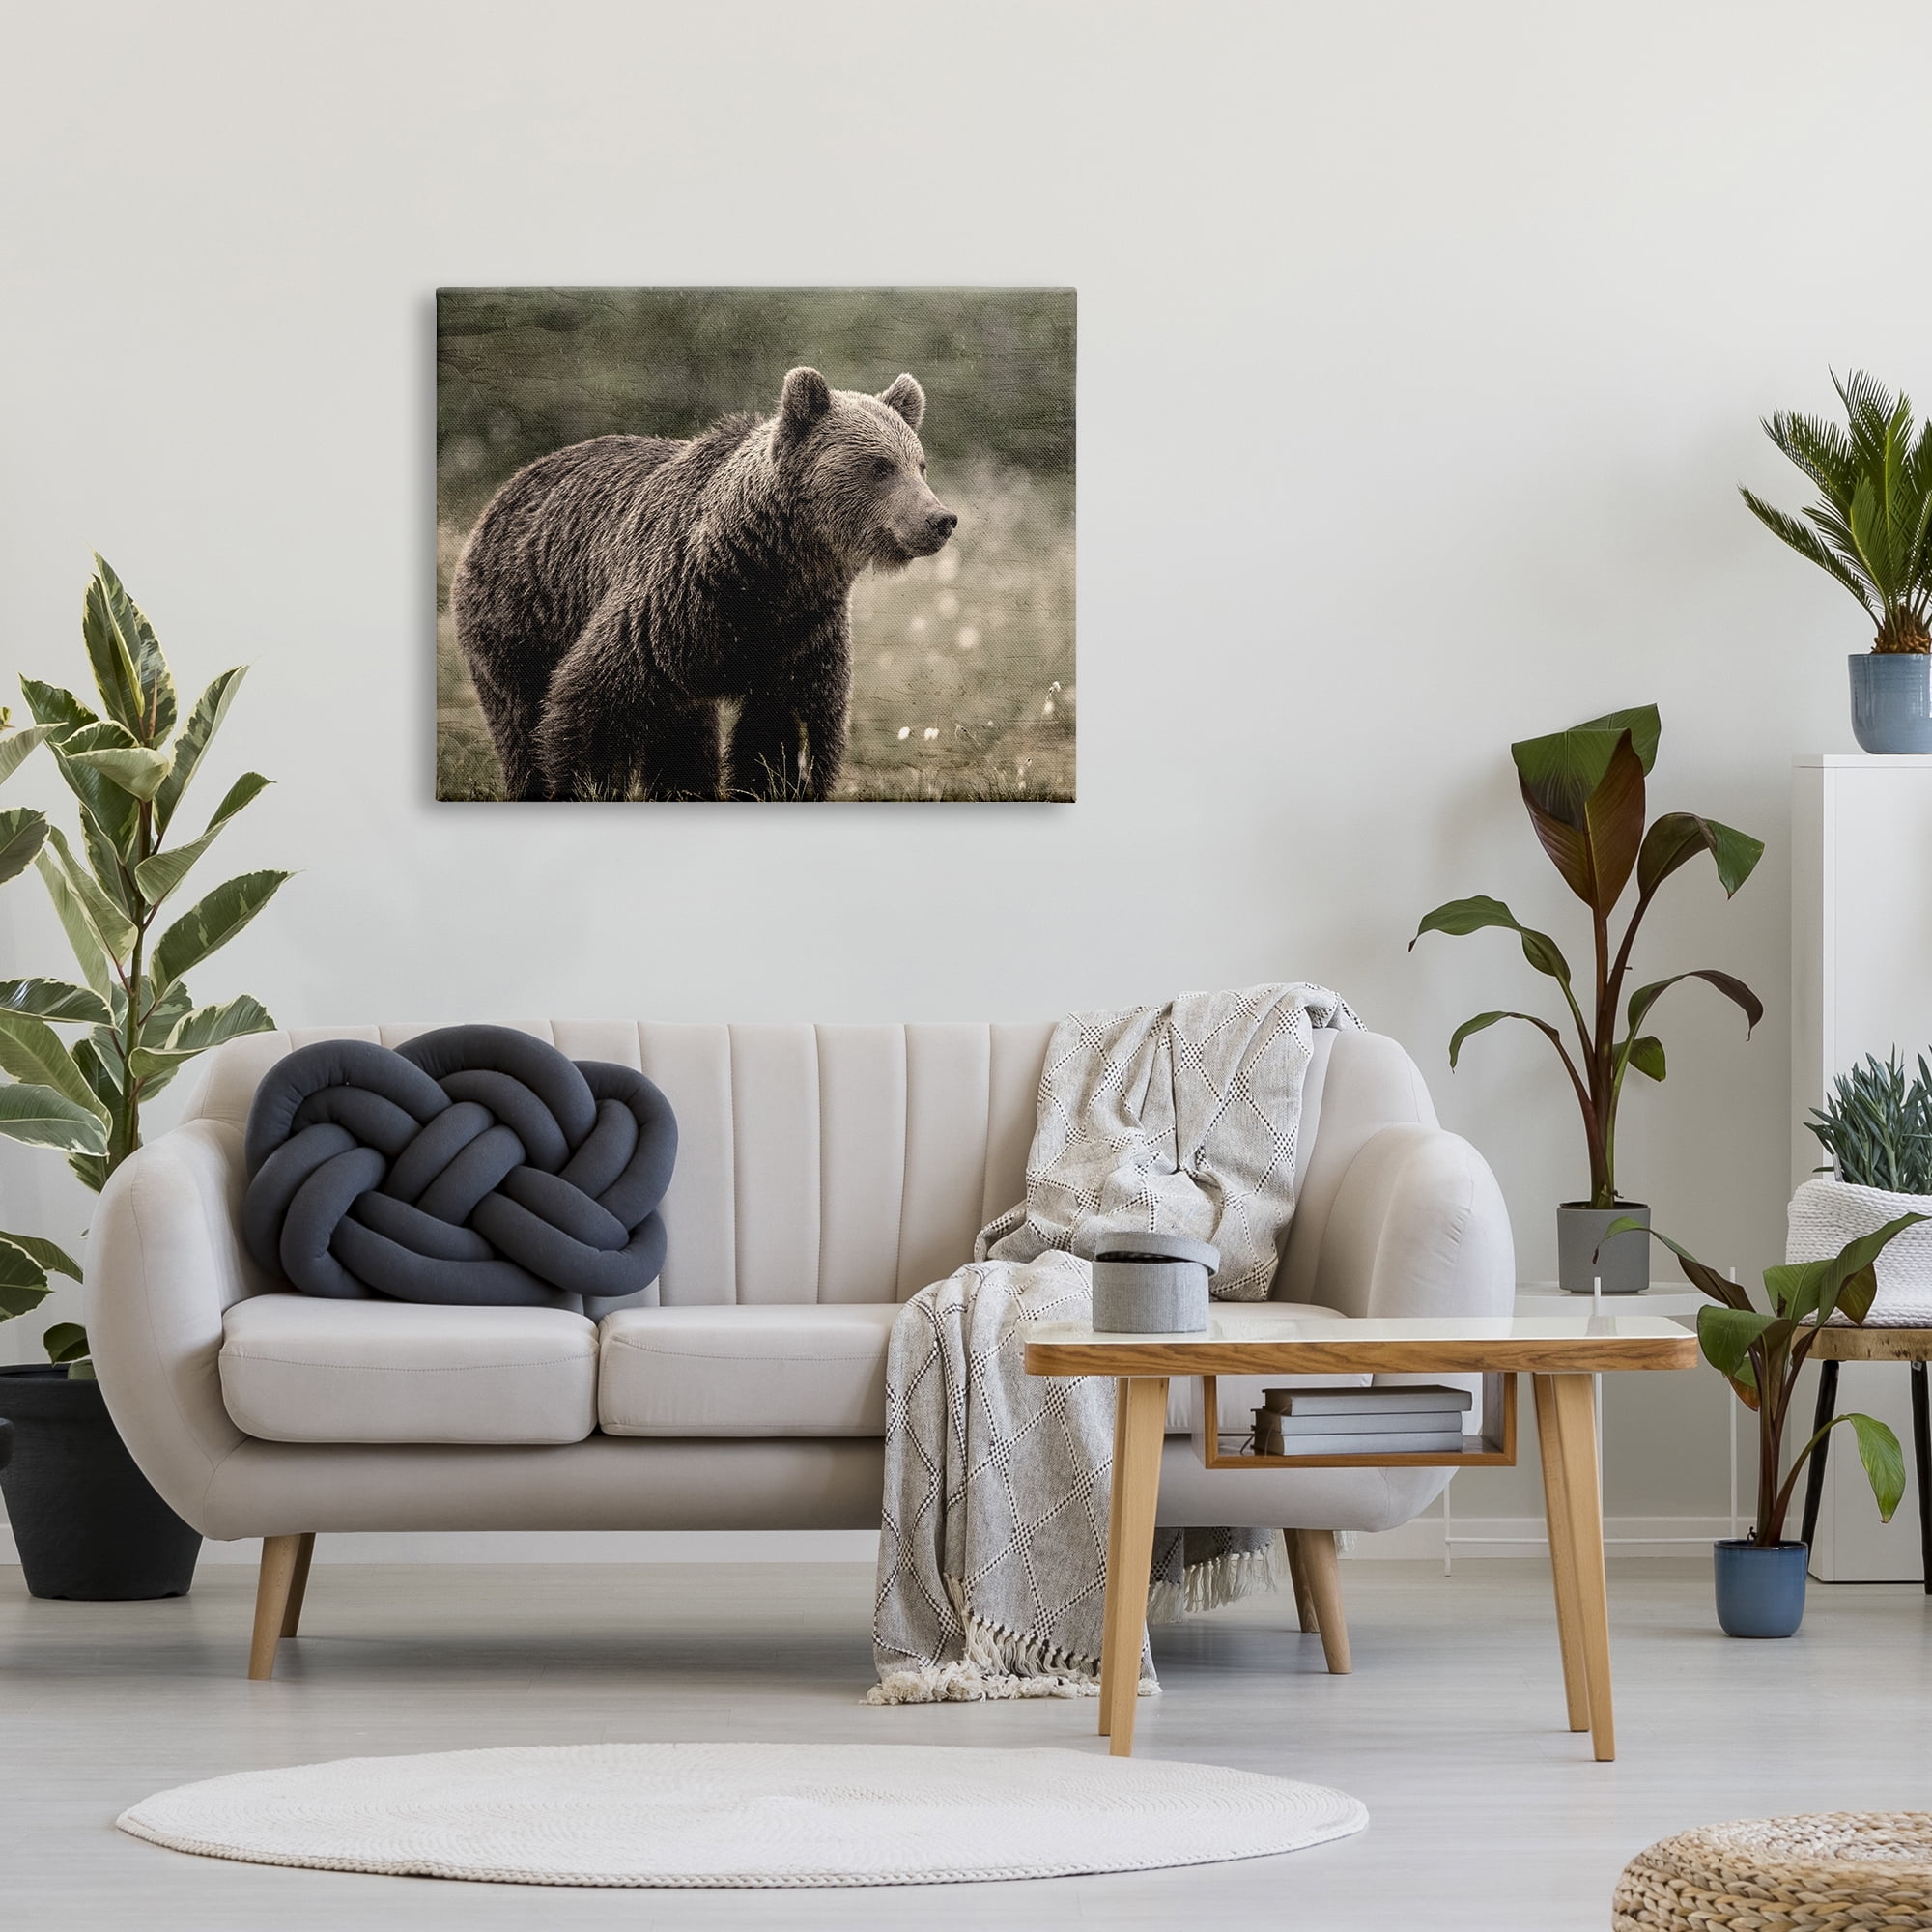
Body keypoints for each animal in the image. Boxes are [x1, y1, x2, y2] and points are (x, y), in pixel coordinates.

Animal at [450, 368, 958, 801]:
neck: (771, 567)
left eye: (920, 464)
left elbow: (785, 732)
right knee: (521, 719)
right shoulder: (671, 606)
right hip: (520, 618)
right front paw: (585, 785)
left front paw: (776, 783)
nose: (940, 519)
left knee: (682, 738)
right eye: (879, 466)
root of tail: (506, 488)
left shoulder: (801, 633)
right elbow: (593, 704)